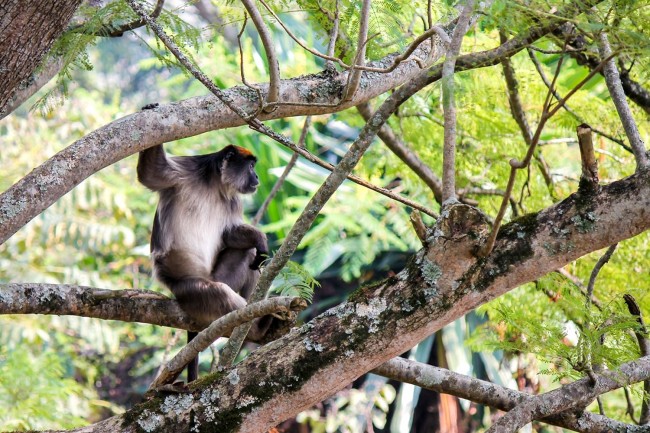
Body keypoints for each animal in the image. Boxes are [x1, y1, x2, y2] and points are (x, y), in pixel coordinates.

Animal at [137, 143, 268, 380]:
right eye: (251, 166)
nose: (256, 176)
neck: (214, 185)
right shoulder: (184, 170)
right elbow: (149, 173)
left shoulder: (233, 199)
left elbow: (230, 235)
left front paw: (260, 238)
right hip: (186, 287)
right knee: (218, 292)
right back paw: (257, 326)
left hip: (221, 276)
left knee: (249, 254)